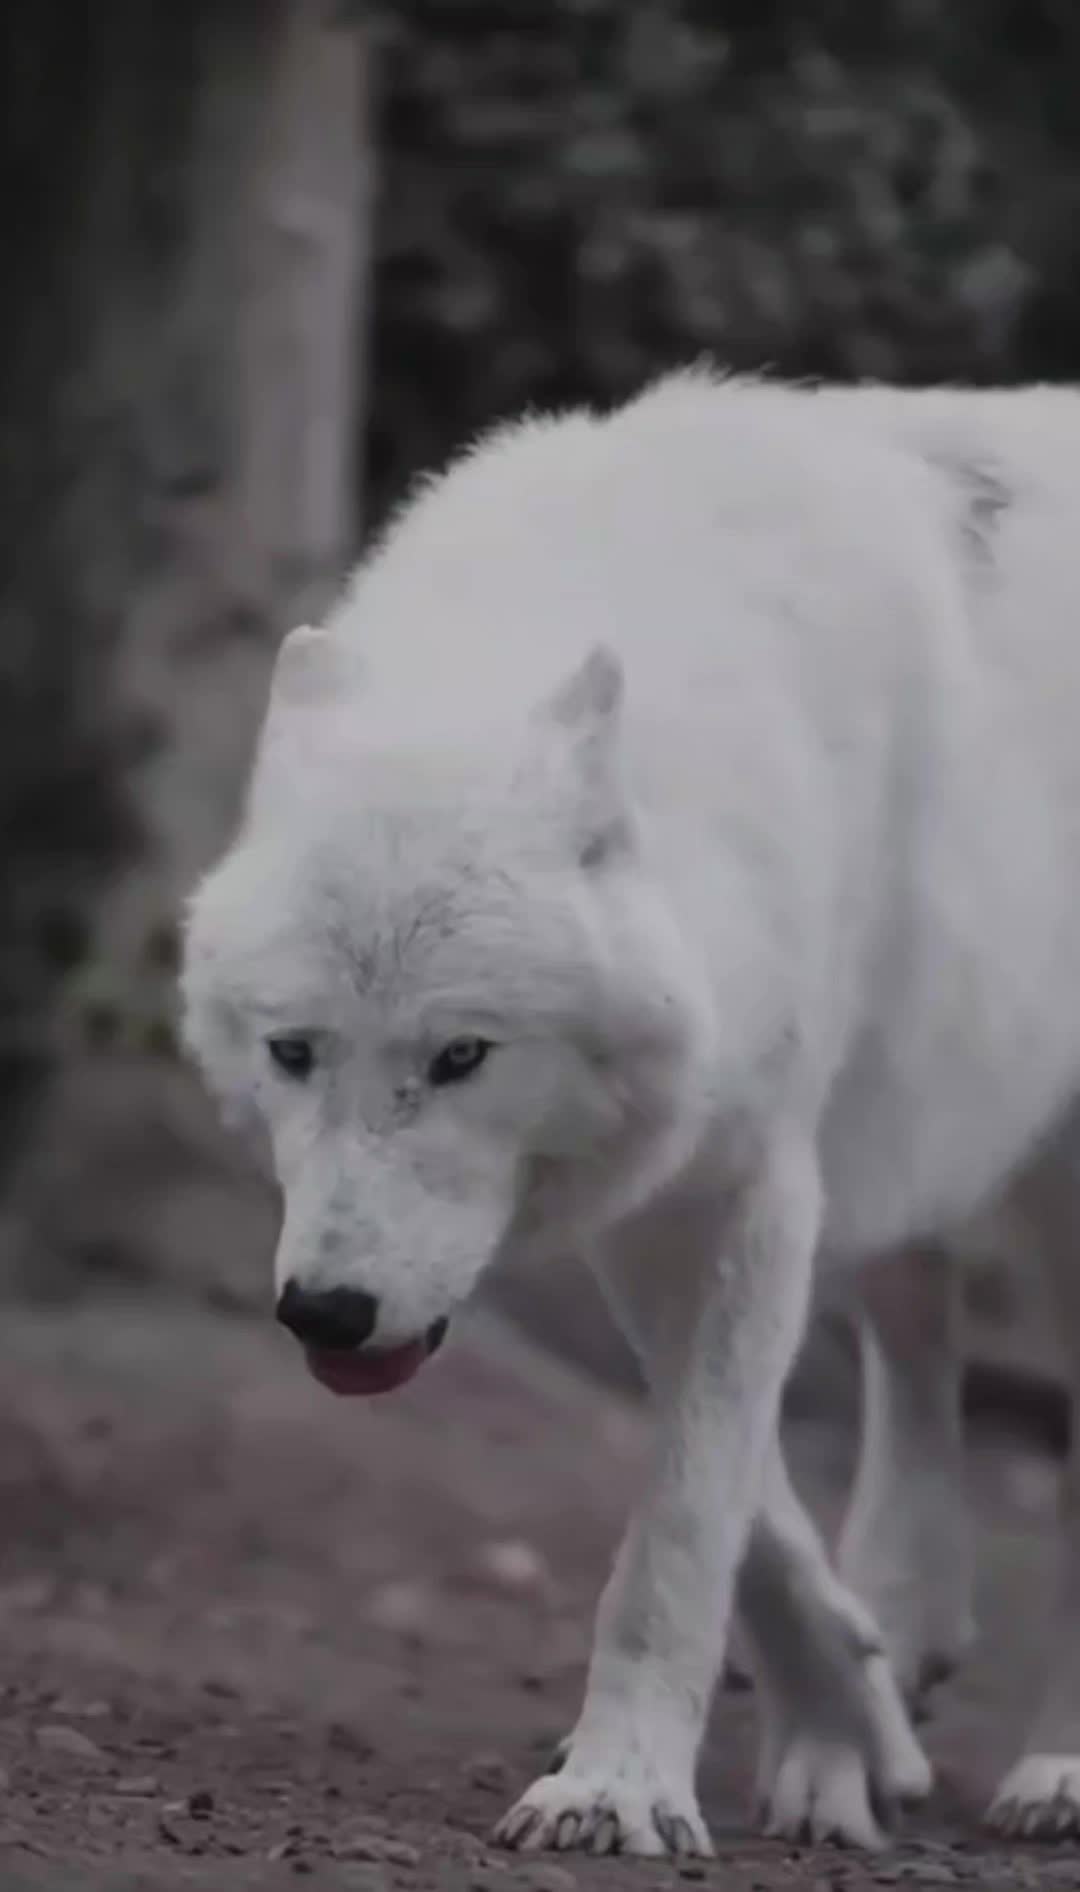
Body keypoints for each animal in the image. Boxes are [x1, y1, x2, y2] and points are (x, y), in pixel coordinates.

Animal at [182, 369, 1080, 1855]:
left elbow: (683, 1526)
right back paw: (902, 1625)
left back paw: (1056, 1764)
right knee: (916, 1332)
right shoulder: (661, 1194)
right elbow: (752, 1515)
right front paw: (846, 1726)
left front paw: (615, 1788)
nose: (327, 1314)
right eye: (295, 1052)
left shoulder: (750, 1190)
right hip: (917, 1127)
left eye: (464, 1055)